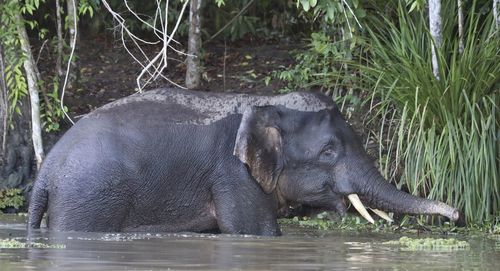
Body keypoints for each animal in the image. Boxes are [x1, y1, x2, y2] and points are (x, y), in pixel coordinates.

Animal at [27, 87, 458, 236]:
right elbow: (256, 232)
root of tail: (45, 171)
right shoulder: (233, 175)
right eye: (329, 152)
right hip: (89, 199)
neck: (266, 101)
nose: (457, 214)